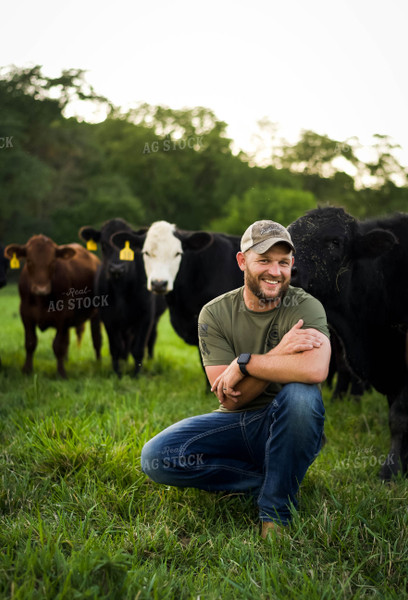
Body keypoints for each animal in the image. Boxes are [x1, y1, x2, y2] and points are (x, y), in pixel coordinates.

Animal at [4, 233, 102, 378]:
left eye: (52, 262)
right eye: (29, 261)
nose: (41, 289)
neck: (41, 300)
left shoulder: (63, 317)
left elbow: (58, 345)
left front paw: (61, 373)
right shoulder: (26, 314)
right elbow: (30, 342)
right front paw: (27, 370)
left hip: (96, 314)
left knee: (96, 339)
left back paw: (98, 363)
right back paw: (66, 360)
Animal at [79, 218, 166, 378]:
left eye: (129, 246)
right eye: (103, 244)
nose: (117, 268)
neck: (121, 289)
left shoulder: (146, 316)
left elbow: (138, 348)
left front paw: (136, 375)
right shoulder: (108, 317)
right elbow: (116, 347)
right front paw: (118, 373)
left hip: (154, 319)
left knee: (151, 339)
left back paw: (149, 359)